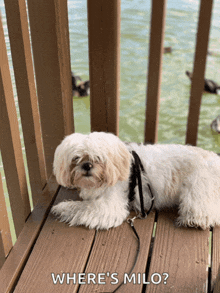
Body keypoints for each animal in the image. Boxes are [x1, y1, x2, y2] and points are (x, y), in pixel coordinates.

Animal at [52, 131, 220, 229]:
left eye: (98, 158)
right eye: (76, 158)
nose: (87, 165)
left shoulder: (108, 207)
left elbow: (81, 207)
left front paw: (61, 207)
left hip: (197, 190)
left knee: (206, 214)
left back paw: (191, 221)